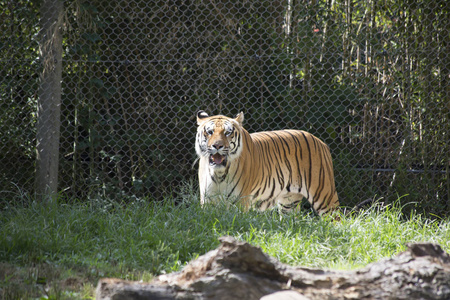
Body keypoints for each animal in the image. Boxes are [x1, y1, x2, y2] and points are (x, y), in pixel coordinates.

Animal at [195, 110, 340, 216]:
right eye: (210, 132)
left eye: (228, 132)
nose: (217, 146)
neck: (219, 173)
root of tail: (321, 142)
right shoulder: (207, 201)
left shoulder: (240, 201)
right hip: (289, 203)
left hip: (324, 196)